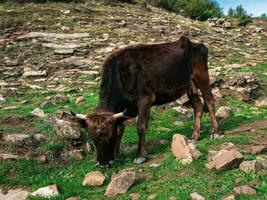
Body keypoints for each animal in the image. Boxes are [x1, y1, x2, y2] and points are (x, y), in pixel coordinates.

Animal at [74, 35, 220, 166]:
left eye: (109, 136)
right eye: (92, 138)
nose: (103, 164)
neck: (119, 76)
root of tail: (197, 44)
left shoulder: (145, 99)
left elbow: (141, 127)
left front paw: (140, 156)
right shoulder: (125, 110)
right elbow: (121, 129)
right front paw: (117, 154)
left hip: (201, 75)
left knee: (210, 101)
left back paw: (215, 132)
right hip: (190, 86)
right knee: (198, 107)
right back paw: (195, 136)